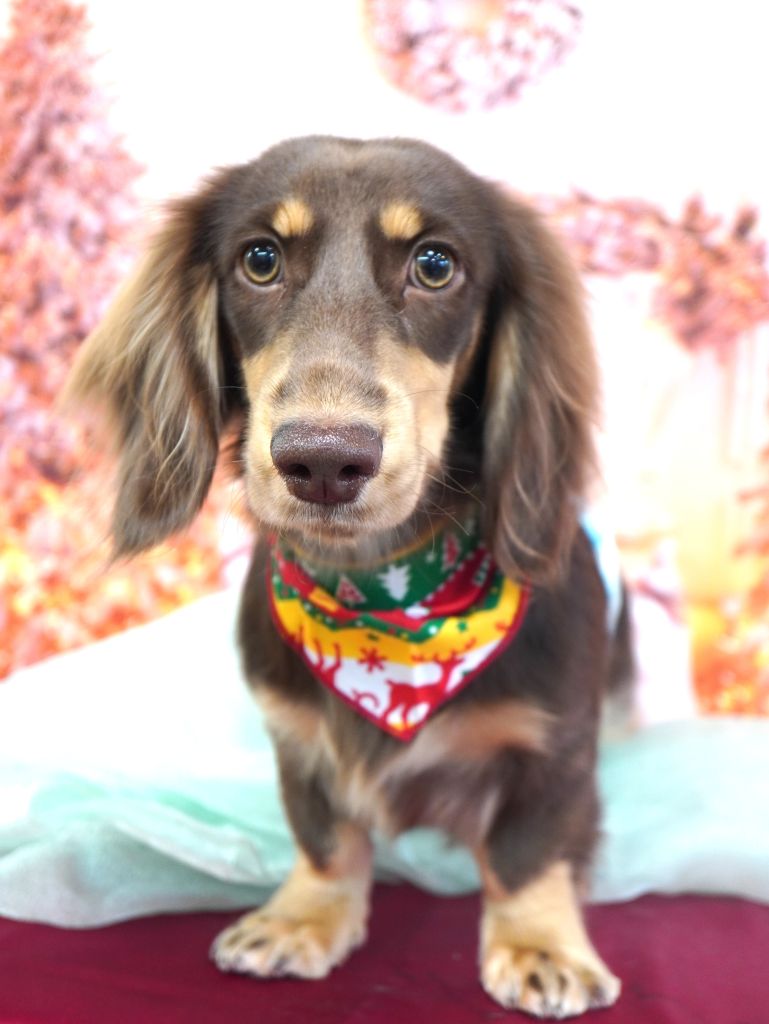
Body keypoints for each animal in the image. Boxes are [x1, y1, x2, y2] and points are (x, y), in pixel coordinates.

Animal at [67, 136, 627, 1018]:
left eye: (435, 265)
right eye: (260, 259)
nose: (324, 461)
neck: (385, 596)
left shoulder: (557, 747)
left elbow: (529, 850)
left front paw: (541, 946)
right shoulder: (295, 739)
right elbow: (324, 836)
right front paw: (303, 917)